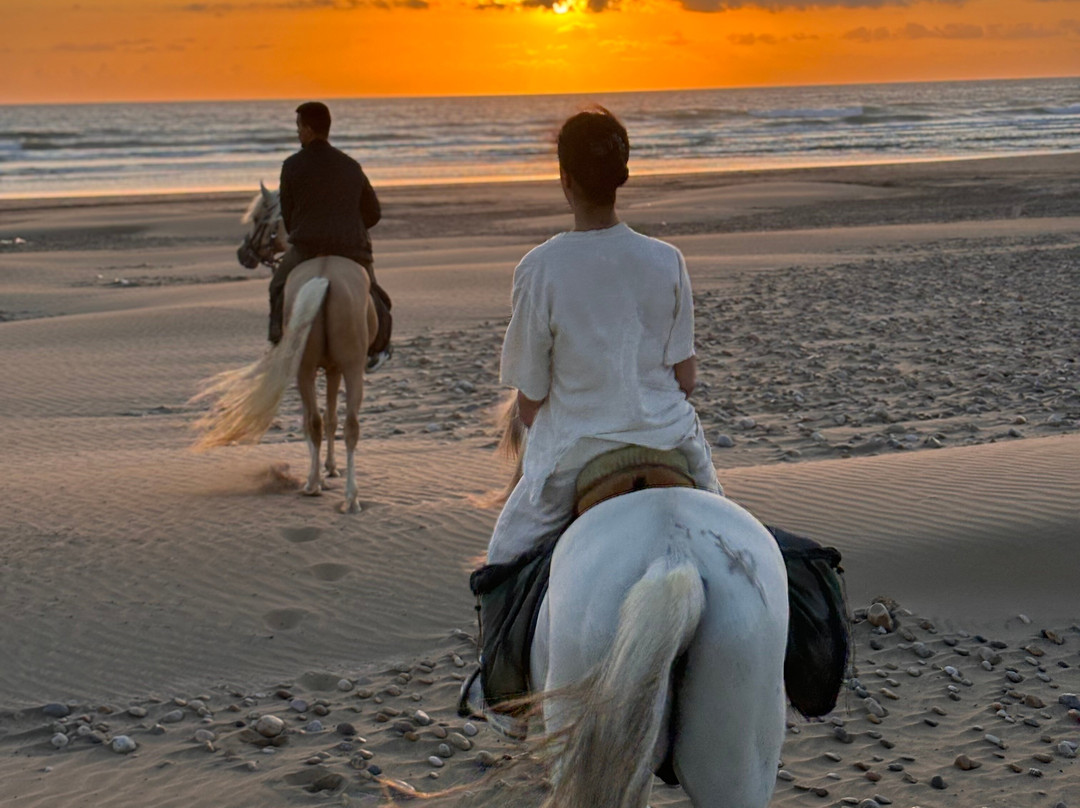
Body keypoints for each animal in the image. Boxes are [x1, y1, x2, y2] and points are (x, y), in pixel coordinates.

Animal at [190, 185, 378, 514]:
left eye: (256, 219)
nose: (243, 254)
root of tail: (324, 277)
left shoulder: (332, 369)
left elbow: (328, 420)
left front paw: (329, 469)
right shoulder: (333, 369)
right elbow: (330, 419)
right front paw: (329, 469)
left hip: (319, 368)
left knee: (323, 422)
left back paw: (327, 489)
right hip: (340, 368)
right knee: (333, 423)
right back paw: (335, 491)